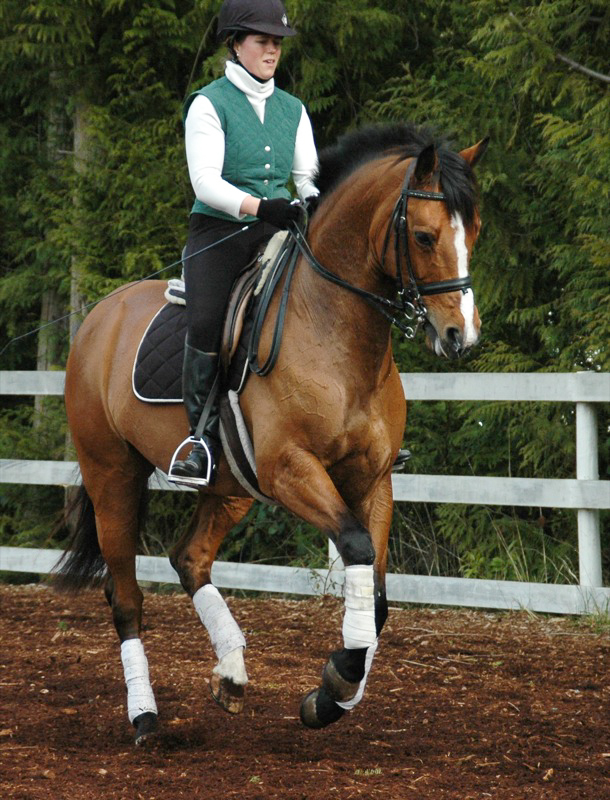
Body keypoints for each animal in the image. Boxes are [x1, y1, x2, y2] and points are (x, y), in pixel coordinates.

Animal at [54, 123, 488, 745]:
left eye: (473, 231)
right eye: (426, 237)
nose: (461, 337)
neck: (334, 333)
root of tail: (100, 315)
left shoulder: (372, 479)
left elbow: (378, 598)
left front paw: (331, 696)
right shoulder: (292, 470)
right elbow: (355, 547)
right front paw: (335, 685)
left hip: (230, 487)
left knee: (189, 559)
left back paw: (231, 672)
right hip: (112, 474)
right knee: (126, 597)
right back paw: (145, 717)